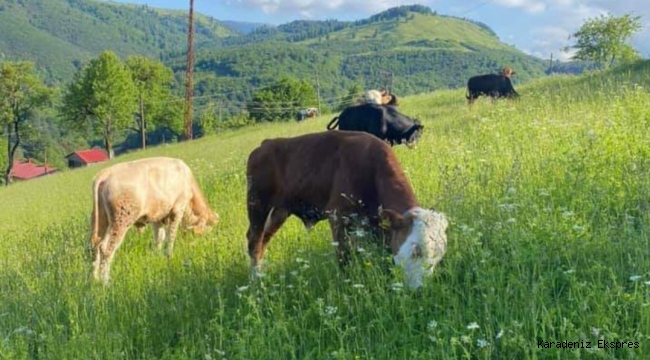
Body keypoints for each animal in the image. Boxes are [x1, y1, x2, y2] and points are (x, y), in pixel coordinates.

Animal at [88, 158, 218, 284]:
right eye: (208, 229)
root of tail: (106, 172)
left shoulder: (158, 218)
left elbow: (159, 238)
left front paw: (157, 257)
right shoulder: (178, 209)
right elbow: (171, 236)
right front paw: (169, 256)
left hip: (102, 221)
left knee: (96, 246)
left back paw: (95, 280)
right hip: (121, 221)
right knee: (106, 249)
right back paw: (106, 282)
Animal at [243, 131, 446, 288]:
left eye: (438, 256)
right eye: (415, 251)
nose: (420, 289)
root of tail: (267, 143)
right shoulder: (338, 216)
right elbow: (343, 258)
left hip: (279, 210)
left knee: (264, 238)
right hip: (257, 203)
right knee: (254, 241)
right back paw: (255, 282)